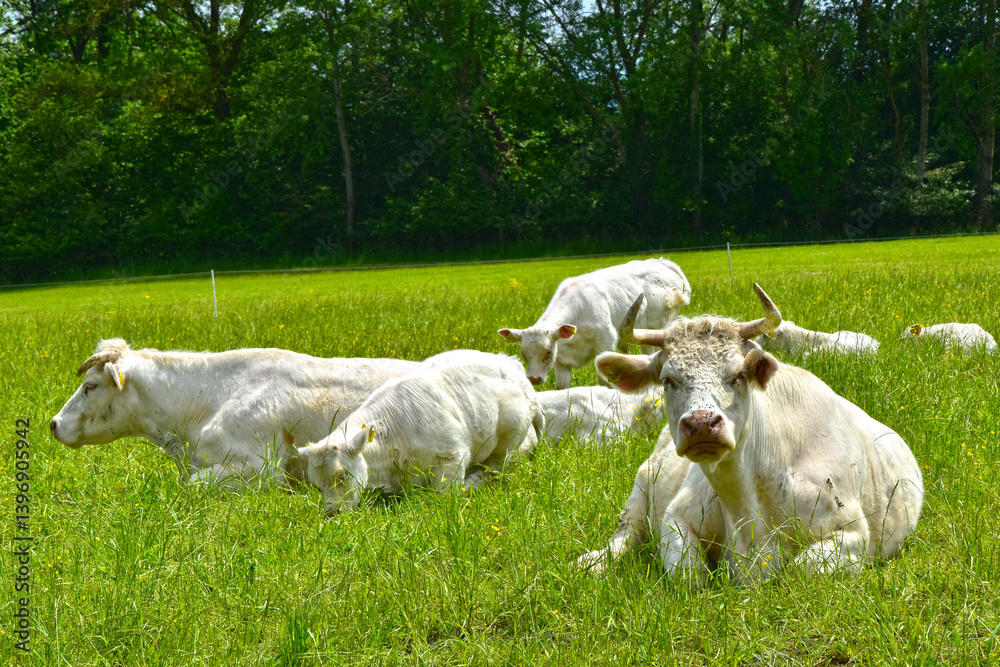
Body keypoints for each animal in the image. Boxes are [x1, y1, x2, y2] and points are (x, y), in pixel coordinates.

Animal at [294, 349, 544, 515]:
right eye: (316, 484)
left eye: (342, 475)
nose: (331, 513)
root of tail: (508, 361)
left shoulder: (452, 458)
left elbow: (445, 494)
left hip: (509, 438)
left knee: (494, 467)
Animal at [498, 258, 691, 389]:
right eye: (523, 353)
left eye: (548, 351)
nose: (533, 379)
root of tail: (662, 262)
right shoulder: (561, 361)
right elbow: (563, 388)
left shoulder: (604, 345)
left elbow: (604, 383)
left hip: (656, 329)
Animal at [577, 285, 923, 584]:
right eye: (667, 380)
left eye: (739, 374)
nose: (701, 423)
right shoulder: (674, 518)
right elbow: (692, 574)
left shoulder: (853, 535)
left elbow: (798, 570)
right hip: (641, 486)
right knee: (625, 534)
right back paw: (593, 562)